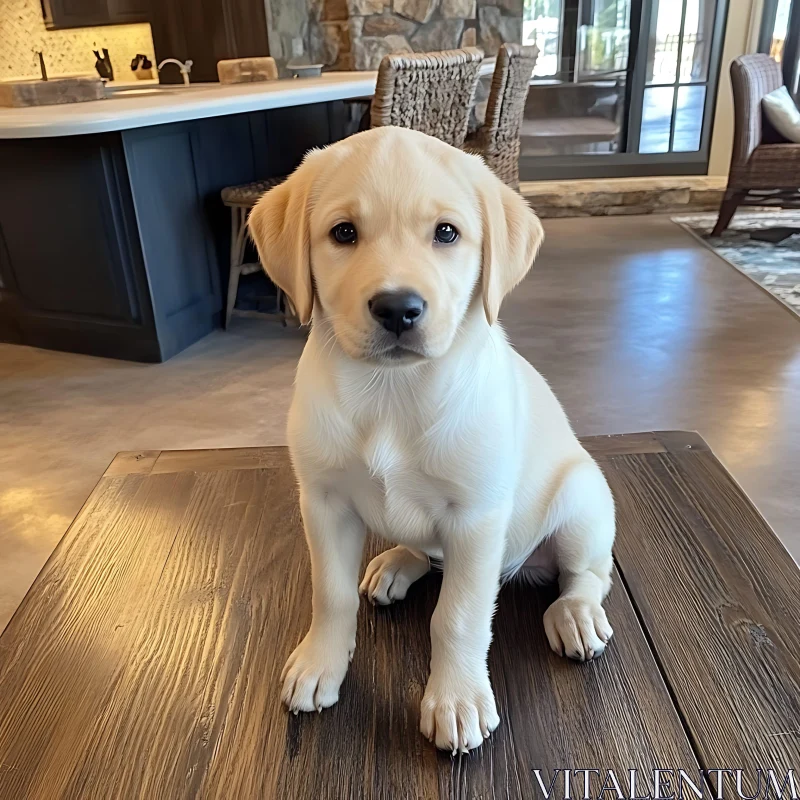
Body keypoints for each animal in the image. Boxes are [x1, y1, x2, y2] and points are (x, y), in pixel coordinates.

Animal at [248, 128, 612, 752]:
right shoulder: (324, 502)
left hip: (582, 501)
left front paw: (457, 700)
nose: (398, 308)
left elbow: (458, 616)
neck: (391, 393)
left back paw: (576, 614)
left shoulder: (476, 517)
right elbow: (331, 593)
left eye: (446, 233)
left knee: (587, 575)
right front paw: (321, 663)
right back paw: (397, 562)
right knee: (423, 551)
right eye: (343, 233)